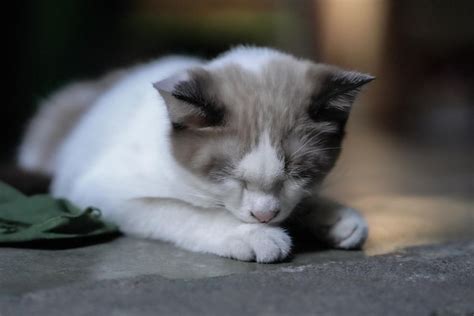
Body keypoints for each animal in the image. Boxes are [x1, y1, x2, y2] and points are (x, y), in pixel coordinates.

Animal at [17, 45, 374, 262]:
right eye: (229, 175)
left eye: (298, 173)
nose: (264, 216)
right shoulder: (103, 194)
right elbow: (193, 213)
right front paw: (258, 236)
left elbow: (302, 201)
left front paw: (335, 219)